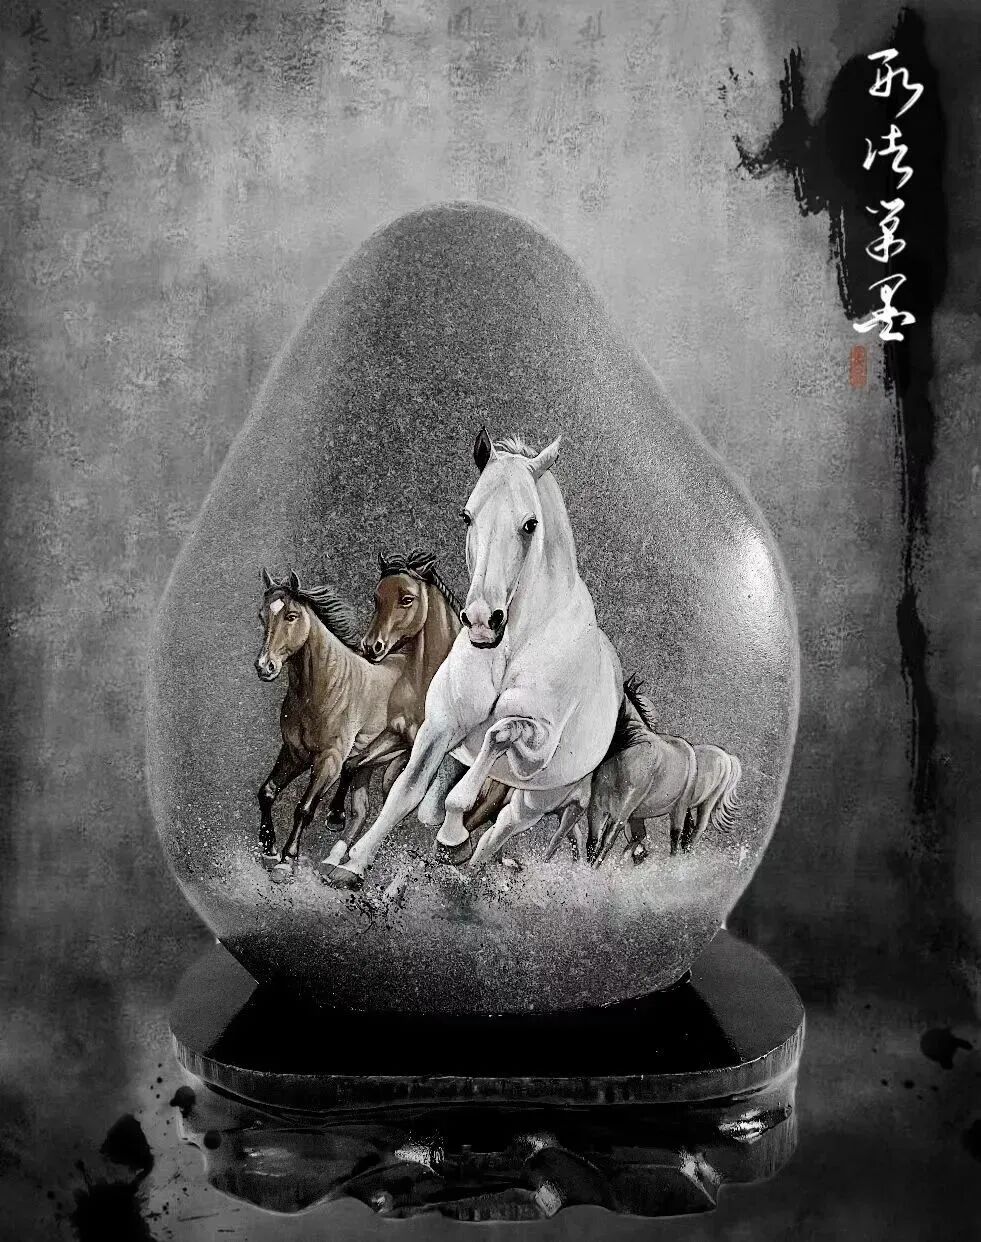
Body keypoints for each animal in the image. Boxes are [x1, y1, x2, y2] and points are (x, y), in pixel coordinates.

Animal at [253, 570, 412, 881]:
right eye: (262, 615)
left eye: (291, 615)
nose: (265, 667)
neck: (325, 686)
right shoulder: (295, 753)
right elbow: (267, 791)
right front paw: (268, 848)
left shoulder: (328, 759)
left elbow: (304, 808)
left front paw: (287, 859)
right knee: (360, 799)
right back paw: (334, 844)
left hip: (394, 752)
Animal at [322, 429, 624, 888]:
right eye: (467, 517)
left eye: (530, 524)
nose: (483, 620)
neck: (511, 646)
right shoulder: (441, 724)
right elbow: (407, 791)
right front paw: (353, 863)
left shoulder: (535, 745)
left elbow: (497, 736)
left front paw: (451, 837)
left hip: (539, 796)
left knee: (502, 829)